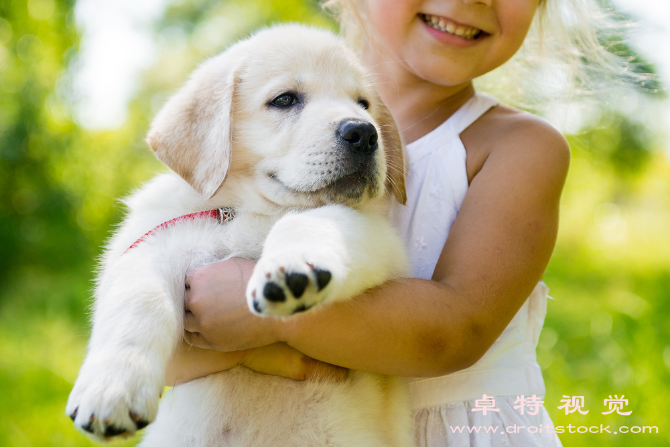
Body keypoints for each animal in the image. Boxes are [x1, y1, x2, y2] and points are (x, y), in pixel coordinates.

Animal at [68, 25, 414, 447]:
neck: (250, 210)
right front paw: (111, 391)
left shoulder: (379, 236)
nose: (364, 132)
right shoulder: (152, 242)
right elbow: (139, 299)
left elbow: (311, 219)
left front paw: (291, 269)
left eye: (363, 103)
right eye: (285, 99)